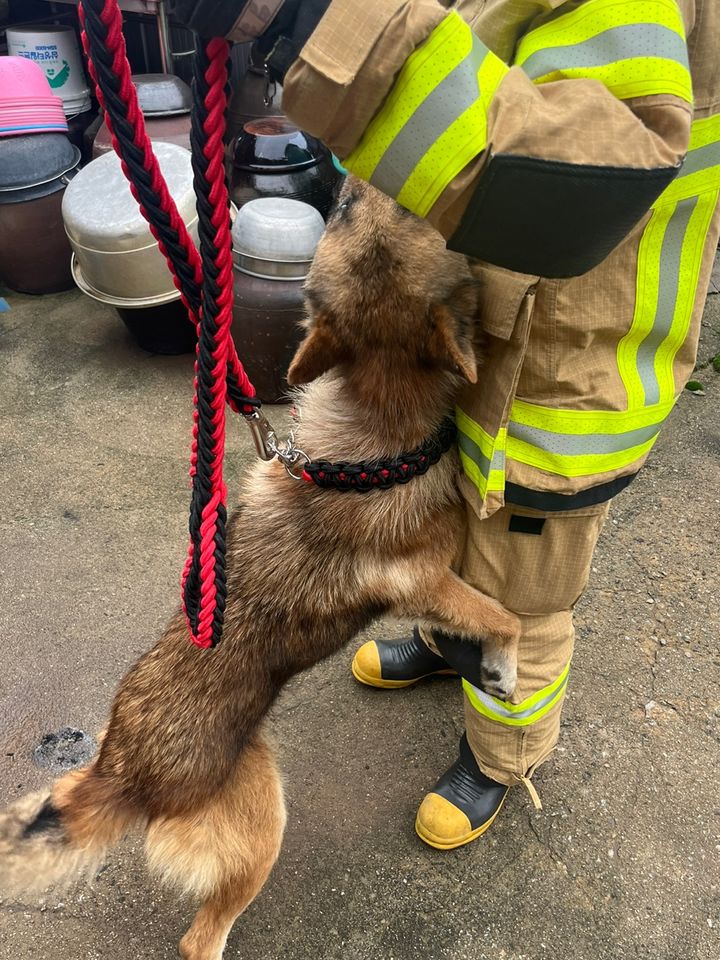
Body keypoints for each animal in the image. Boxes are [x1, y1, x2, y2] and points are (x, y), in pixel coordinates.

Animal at [0, 178, 520, 960]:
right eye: (352, 210)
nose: (346, 181)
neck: (379, 406)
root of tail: (121, 773)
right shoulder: (428, 580)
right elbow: (507, 618)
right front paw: (502, 669)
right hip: (261, 823)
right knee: (202, 937)